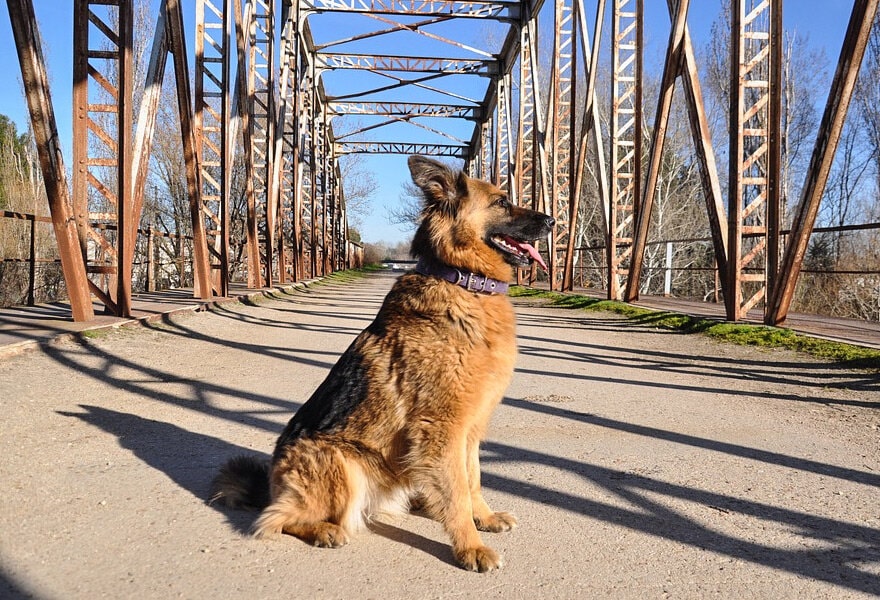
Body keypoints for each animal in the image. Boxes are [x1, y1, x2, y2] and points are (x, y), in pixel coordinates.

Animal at [211, 155, 552, 572]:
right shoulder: (442, 428)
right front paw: (470, 546)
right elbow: (457, 492)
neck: (462, 280)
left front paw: (483, 518)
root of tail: (272, 487)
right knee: (278, 518)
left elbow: (471, 480)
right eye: (502, 202)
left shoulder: (469, 431)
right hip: (340, 462)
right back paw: (324, 530)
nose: (553, 221)